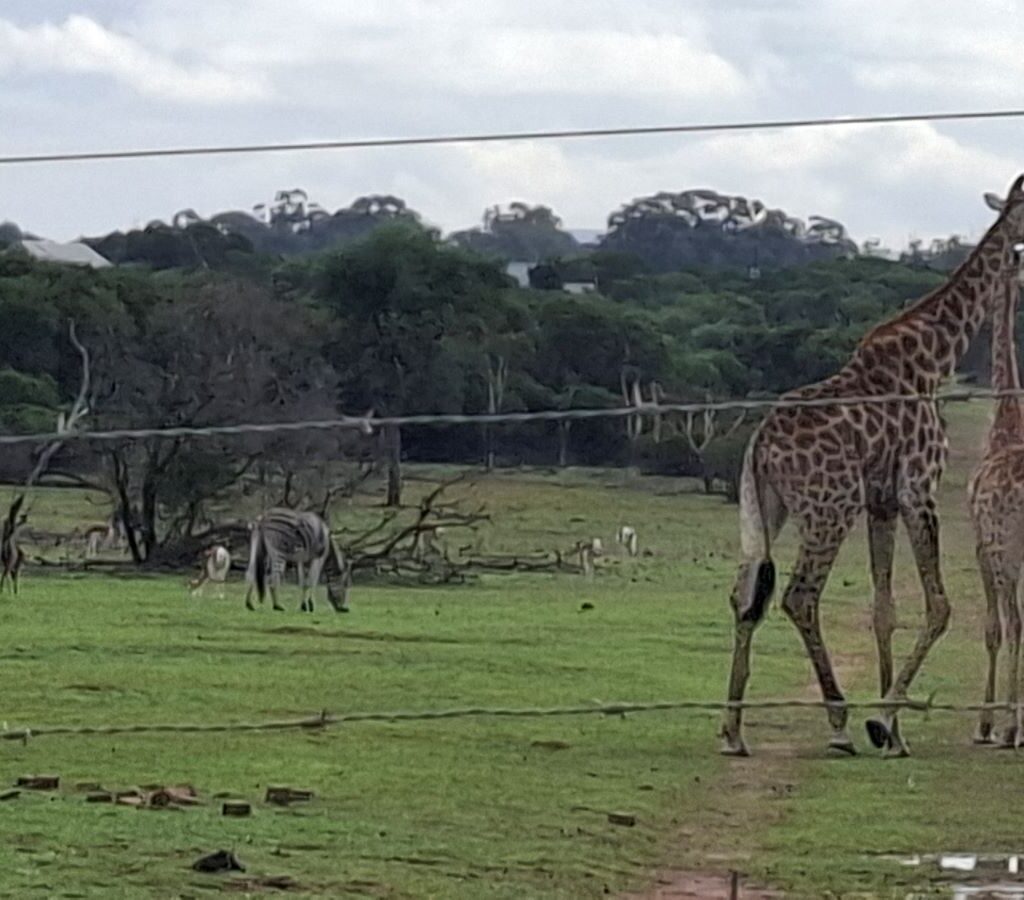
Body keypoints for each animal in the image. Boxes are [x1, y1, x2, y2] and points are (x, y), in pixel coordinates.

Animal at [720, 174, 1024, 759]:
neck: (935, 356)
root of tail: (759, 444)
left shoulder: (881, 501)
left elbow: (885, 611)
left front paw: (896, 734)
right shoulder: (918, 488)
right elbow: (938, 607)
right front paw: (883, 720)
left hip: (770, 507)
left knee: (746, 593)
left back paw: (732, 730)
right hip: (829, 509)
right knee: (798, 597)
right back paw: (838, 723)